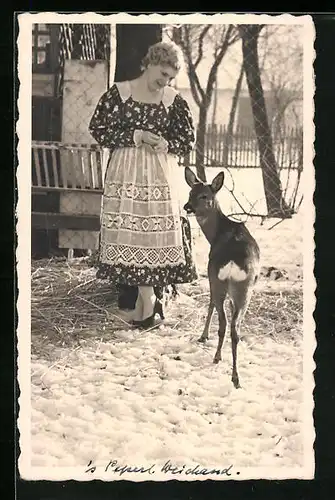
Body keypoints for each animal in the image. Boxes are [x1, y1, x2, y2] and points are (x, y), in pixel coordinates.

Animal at [184, 166, 260, 388]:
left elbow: (209, 304)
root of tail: (233, 262)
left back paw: (219, 359)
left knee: (223, 320)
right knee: (233, 326)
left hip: (218, 280)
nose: (187, 207)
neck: (217, 233)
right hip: (244, 287)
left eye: (204, 195)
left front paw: (203, 336)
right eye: (190, 192)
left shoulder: (210, 276)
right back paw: (235, 376)